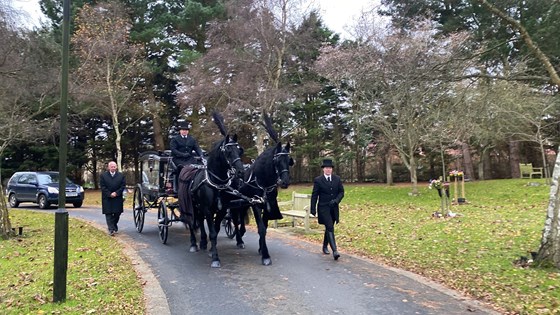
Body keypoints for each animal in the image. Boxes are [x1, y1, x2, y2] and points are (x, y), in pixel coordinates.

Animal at [177, 112, 243, 268]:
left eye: (239, 150)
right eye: (228, 151)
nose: (241, 171)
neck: (216, 182)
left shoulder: (221, 210)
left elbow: (216, 230)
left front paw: (211, 250)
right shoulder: (207, 209)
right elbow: (212, 231)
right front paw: (215, 258)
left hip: (198, 206)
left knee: (200, 221)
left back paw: (202, 242)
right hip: (189, 205)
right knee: (191, 221)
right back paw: (194, 244)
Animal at [230, 115, 296, 266]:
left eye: (289, 160)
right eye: (277, 161)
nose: (285, 182)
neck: (262, 181)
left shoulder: (267, 204)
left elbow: (264, 227)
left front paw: (261, 248)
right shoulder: (256, 204)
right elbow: (261, 228)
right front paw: (265, 255)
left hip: (244, 203)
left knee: (241, 218)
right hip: (236, 203)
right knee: (235, 220)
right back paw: (239, 239)